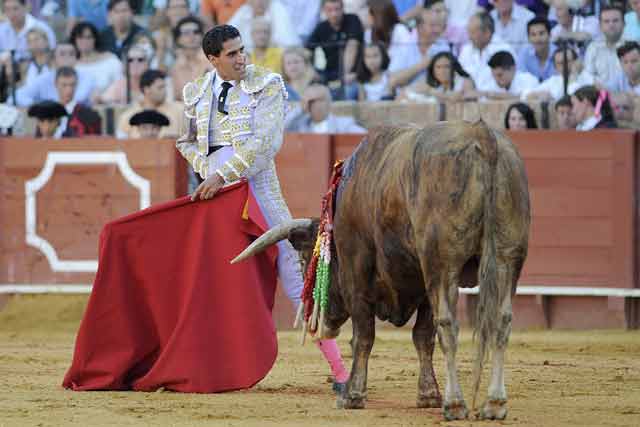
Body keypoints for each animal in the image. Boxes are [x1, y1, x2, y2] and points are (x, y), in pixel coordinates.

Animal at [230, 120, 528, 422]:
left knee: (449, 325)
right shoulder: (422, 283)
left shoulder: (357, 272)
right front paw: (428, 395)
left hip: (442, 264)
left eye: (304, 262)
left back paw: (455, 404)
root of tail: (483, 137)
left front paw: (352, 395)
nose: (317, 326)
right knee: (501, 321)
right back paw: (494, 403)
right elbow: (422, 337)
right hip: (506, 258)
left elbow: (363, 335)